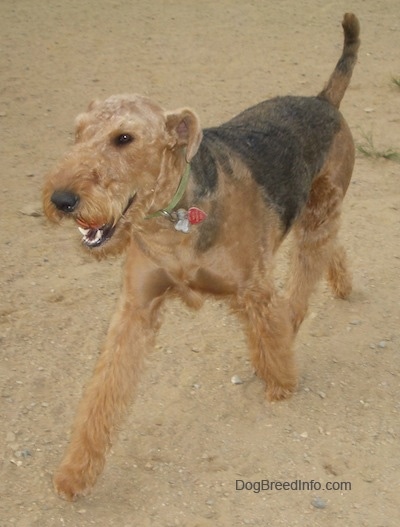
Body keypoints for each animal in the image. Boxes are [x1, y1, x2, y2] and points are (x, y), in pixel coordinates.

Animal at [43, 11, 360, 500]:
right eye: (77, 133)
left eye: (124, 138)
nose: (61, 200)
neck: (174, 218)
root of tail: (323, 100)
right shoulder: (135, 308)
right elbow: (103, 393)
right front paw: (75, 472)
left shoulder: (254, 290)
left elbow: (270, 338)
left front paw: (282, 383)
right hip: (316, 212)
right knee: (328, 251)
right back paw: (341, 284)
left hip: (321, 210)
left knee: (305, 276)